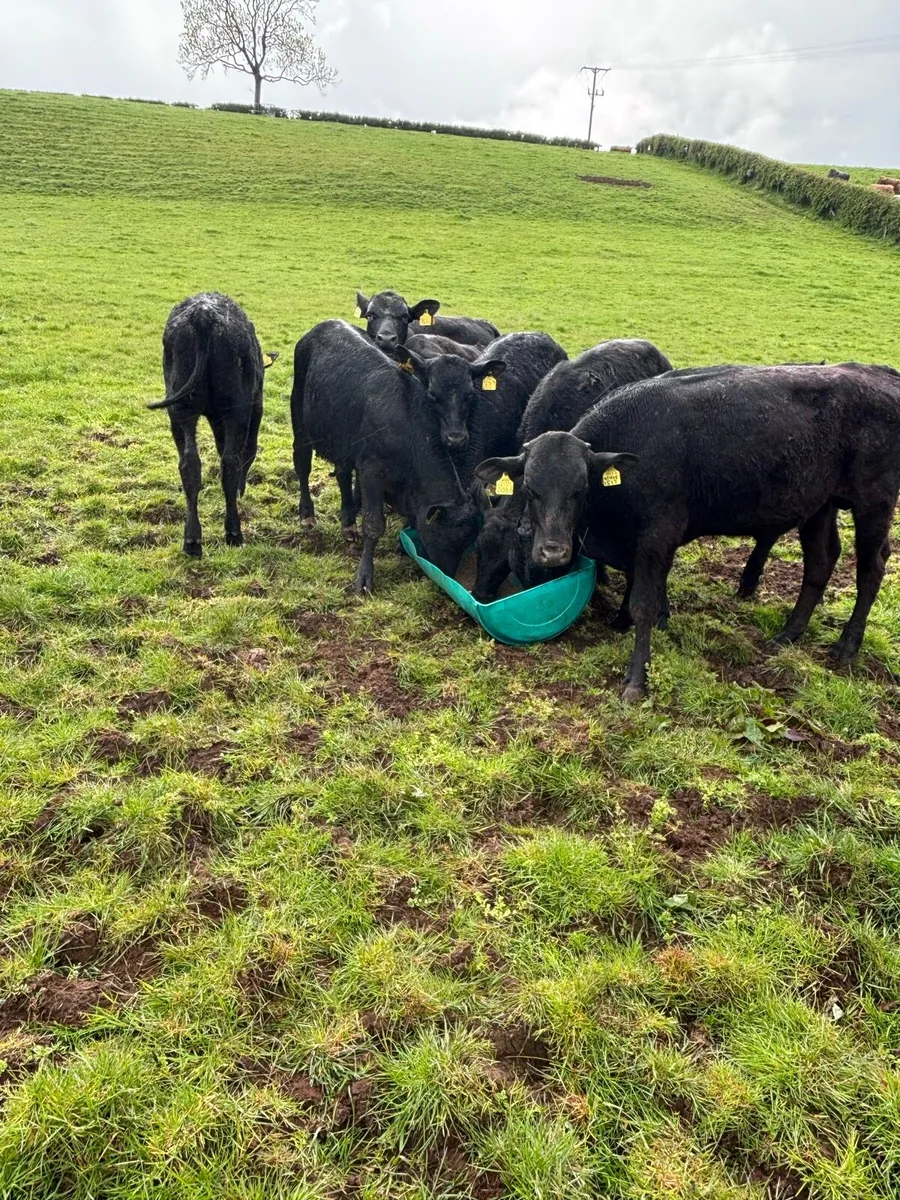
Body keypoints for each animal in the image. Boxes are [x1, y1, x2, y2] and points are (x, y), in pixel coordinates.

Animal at [148, 292, 277, 557]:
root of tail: (203, 315)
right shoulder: (254, 407)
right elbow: (248, 451)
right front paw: (240, 491)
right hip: (236, 409)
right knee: (230, 461)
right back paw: (234, 533)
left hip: (180, 409)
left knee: (189, 462)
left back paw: (192, 540)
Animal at [290, 320, 480, 593]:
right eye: (447, 539)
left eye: (467, 542)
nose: (449, 576)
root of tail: (326, 324)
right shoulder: (371, 470)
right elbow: (373, 525)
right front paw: (364, 575)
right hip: (300, 423)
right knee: (302, 465)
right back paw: (307, 515)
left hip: (343, 439)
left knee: (342, 474)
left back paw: (348, 523)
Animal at [476, 363, 900, 701]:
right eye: (532, 489)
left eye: (580, 489)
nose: (553, 551)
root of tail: (878, 372)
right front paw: (641, 623)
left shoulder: (657, 533)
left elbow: (644, 602)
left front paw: (636, 679)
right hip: (819, 506)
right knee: (820, 563)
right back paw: (788, 635)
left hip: (874, 502)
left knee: (872, 568)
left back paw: (847, 645)